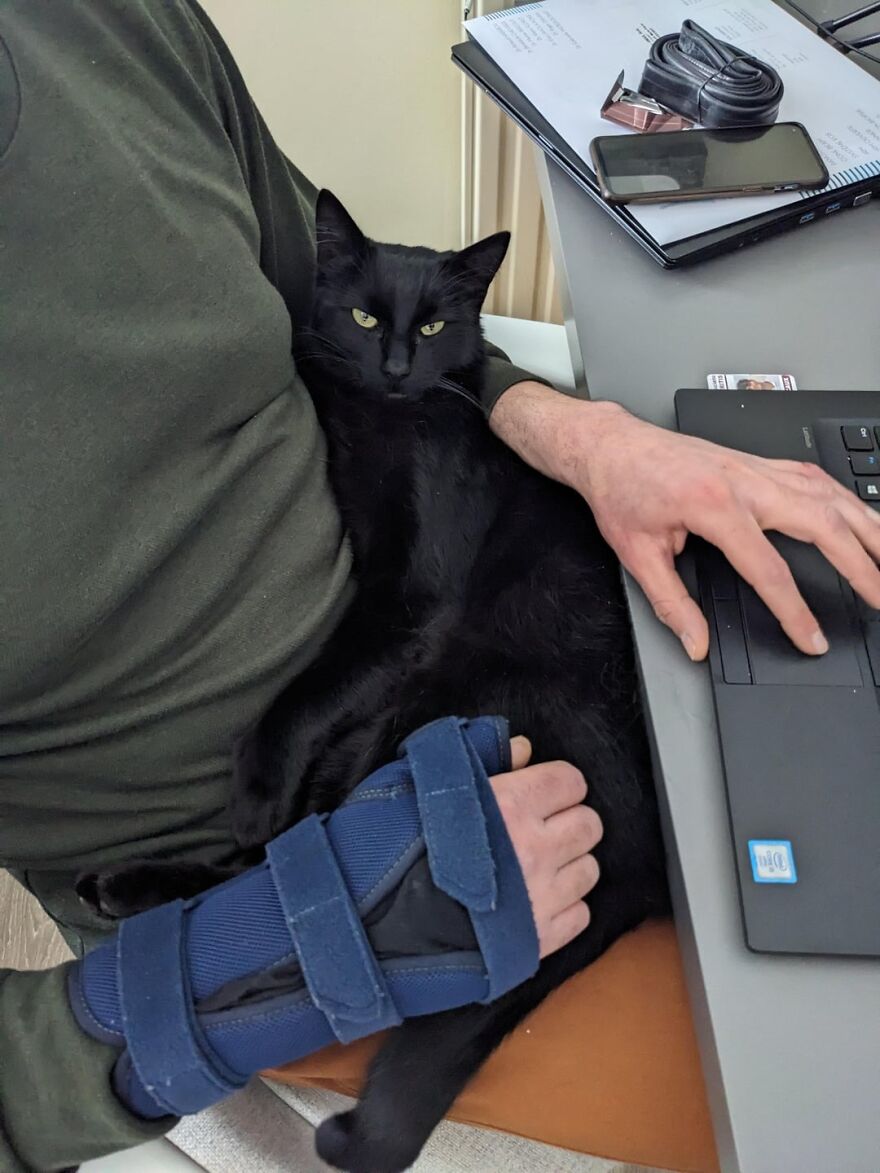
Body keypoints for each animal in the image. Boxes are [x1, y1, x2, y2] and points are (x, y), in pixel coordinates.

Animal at [82, 192, 666, 1173]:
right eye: (363, 317)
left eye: (430, 326)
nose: (394, 366)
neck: (384, 423)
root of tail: (645, 870)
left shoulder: (405, 599)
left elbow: (306, 690)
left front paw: (255, 778)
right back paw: (128, 887)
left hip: (439, 694)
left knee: (281, 853)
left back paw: (157, 873)